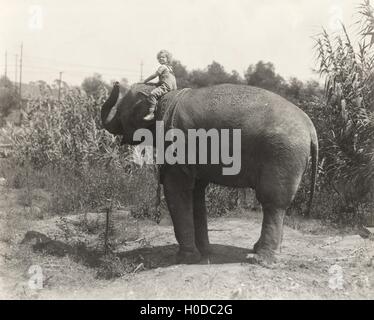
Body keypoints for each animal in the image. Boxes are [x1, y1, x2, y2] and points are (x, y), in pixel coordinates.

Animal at [101, 82, 318, 264]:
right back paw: (261, 251)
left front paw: (186, 258)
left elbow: (176, 189)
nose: (116, 83)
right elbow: (196, 193)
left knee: (273, 202)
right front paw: (205, 252)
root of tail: (311, 127)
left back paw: (261, 259)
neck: (163, 97)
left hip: (282, 155)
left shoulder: (177, 147)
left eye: (121, 111)